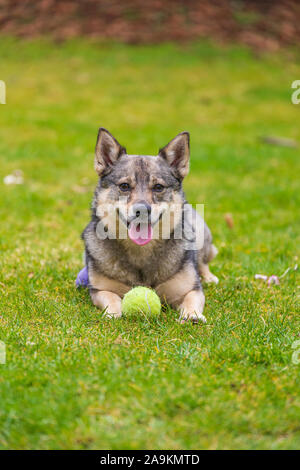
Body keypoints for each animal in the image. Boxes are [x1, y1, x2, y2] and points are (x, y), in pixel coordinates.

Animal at [82, 127, 218, 324]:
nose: (142, 210)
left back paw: (209, 277)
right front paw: (113, 313)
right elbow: (112, 298)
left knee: (203, 262)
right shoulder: (100, 290)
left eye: (158, 187)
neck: (140, 252)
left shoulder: (190, 289)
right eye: (124, 186)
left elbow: (192, 299)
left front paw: (192, 315)